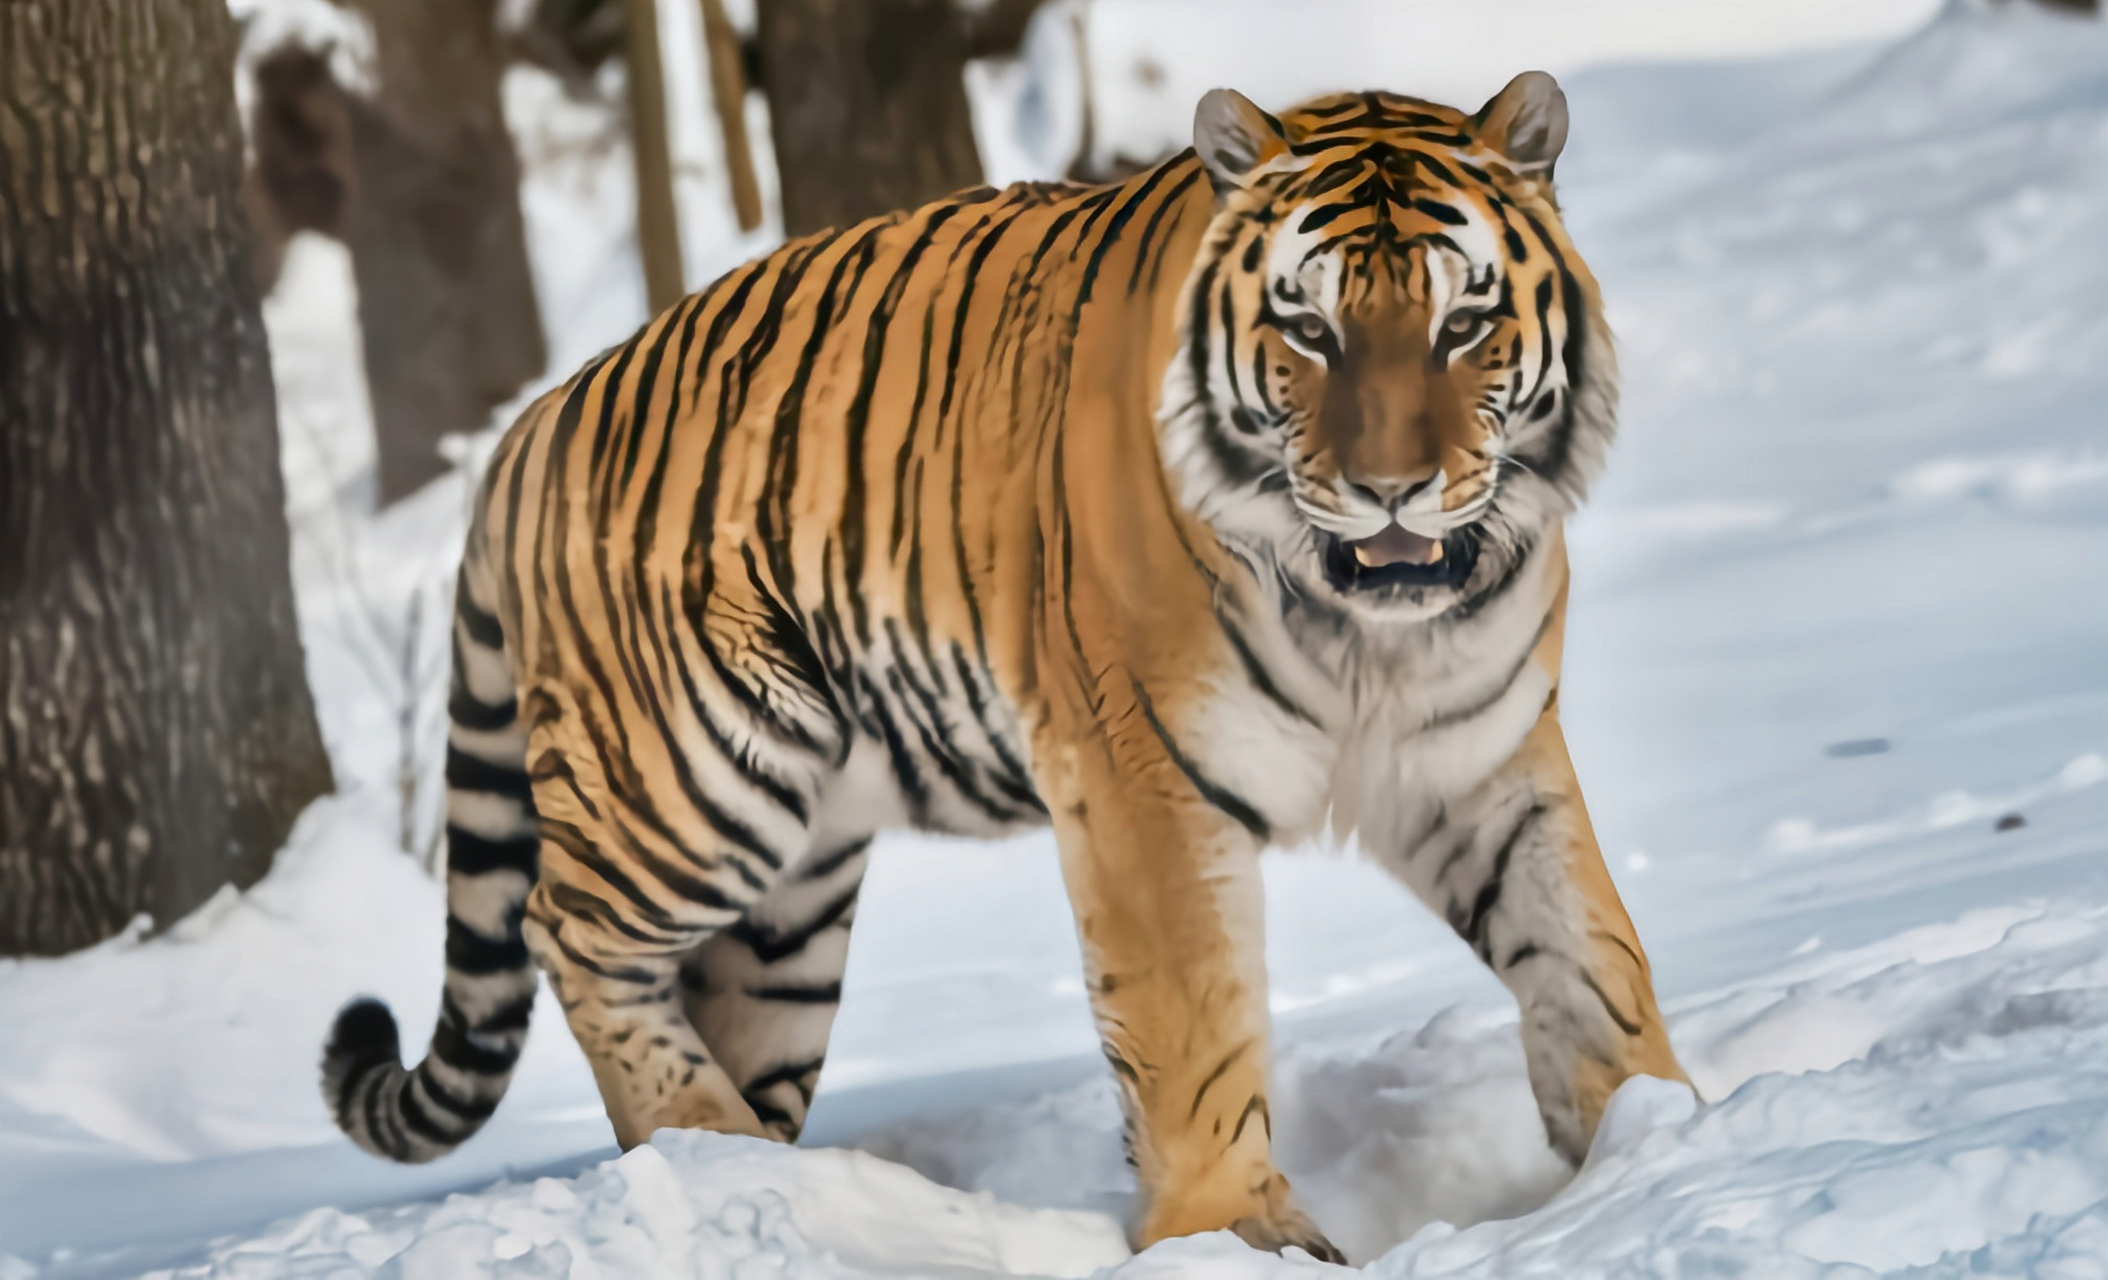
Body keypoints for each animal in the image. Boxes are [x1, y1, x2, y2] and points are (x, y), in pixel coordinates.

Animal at [320, 72, 1686, 1265]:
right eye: (1308, 327)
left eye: (1464, 322)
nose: (1389, 489)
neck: (1373, 633)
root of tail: (533, 421)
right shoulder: (1143, 777)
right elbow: (1194, 1022)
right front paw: (1233, 1231)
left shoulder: (1480, 757)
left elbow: (1586, 950)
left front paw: (1658, 1134)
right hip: (701, 773)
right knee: (564, 926)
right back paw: (700, 1135)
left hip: (792, 901)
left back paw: (741, 1174)